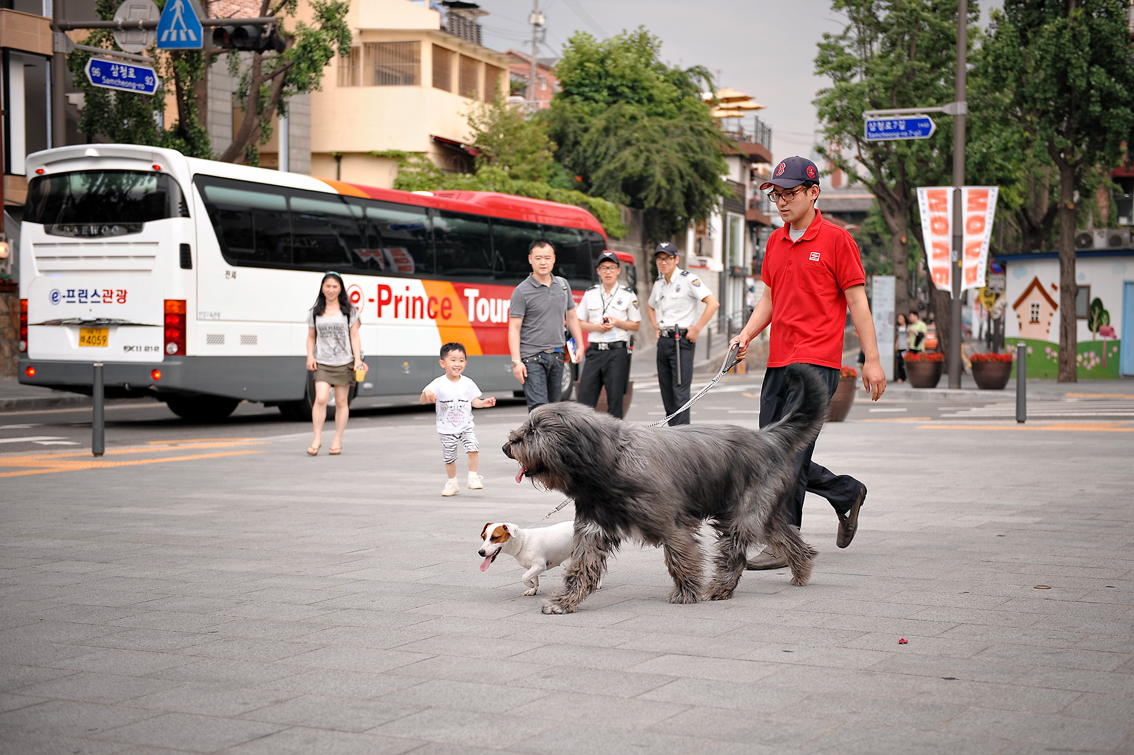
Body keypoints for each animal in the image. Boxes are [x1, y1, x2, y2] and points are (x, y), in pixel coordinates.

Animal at [501, 362, 830, 616]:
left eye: (534, 431)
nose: (507, 446)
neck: (608, 463)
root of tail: (767, 437)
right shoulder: (593, 527)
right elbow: (581, 567)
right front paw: (565, 602)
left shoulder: (671, 524)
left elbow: (681, 557)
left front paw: (687, 592)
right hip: (765, 513)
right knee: (788, 538)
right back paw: (802, 569)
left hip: (744, 514)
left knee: (734, 554)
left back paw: (720, 588)